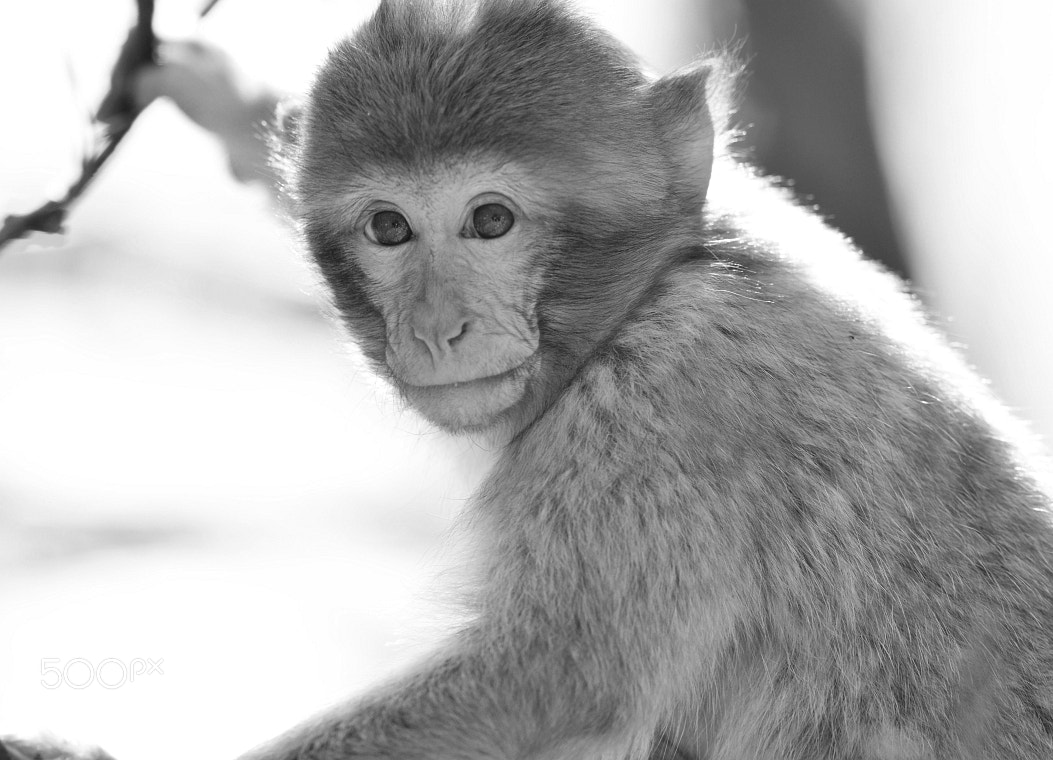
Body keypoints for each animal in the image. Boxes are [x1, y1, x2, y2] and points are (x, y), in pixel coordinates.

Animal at [2, 0, 1053, 753]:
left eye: (491, 221)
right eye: (389, 227)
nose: (438, 328)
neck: (661, 284)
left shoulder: (670, 408)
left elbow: (557, 680)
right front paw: (213, 89)